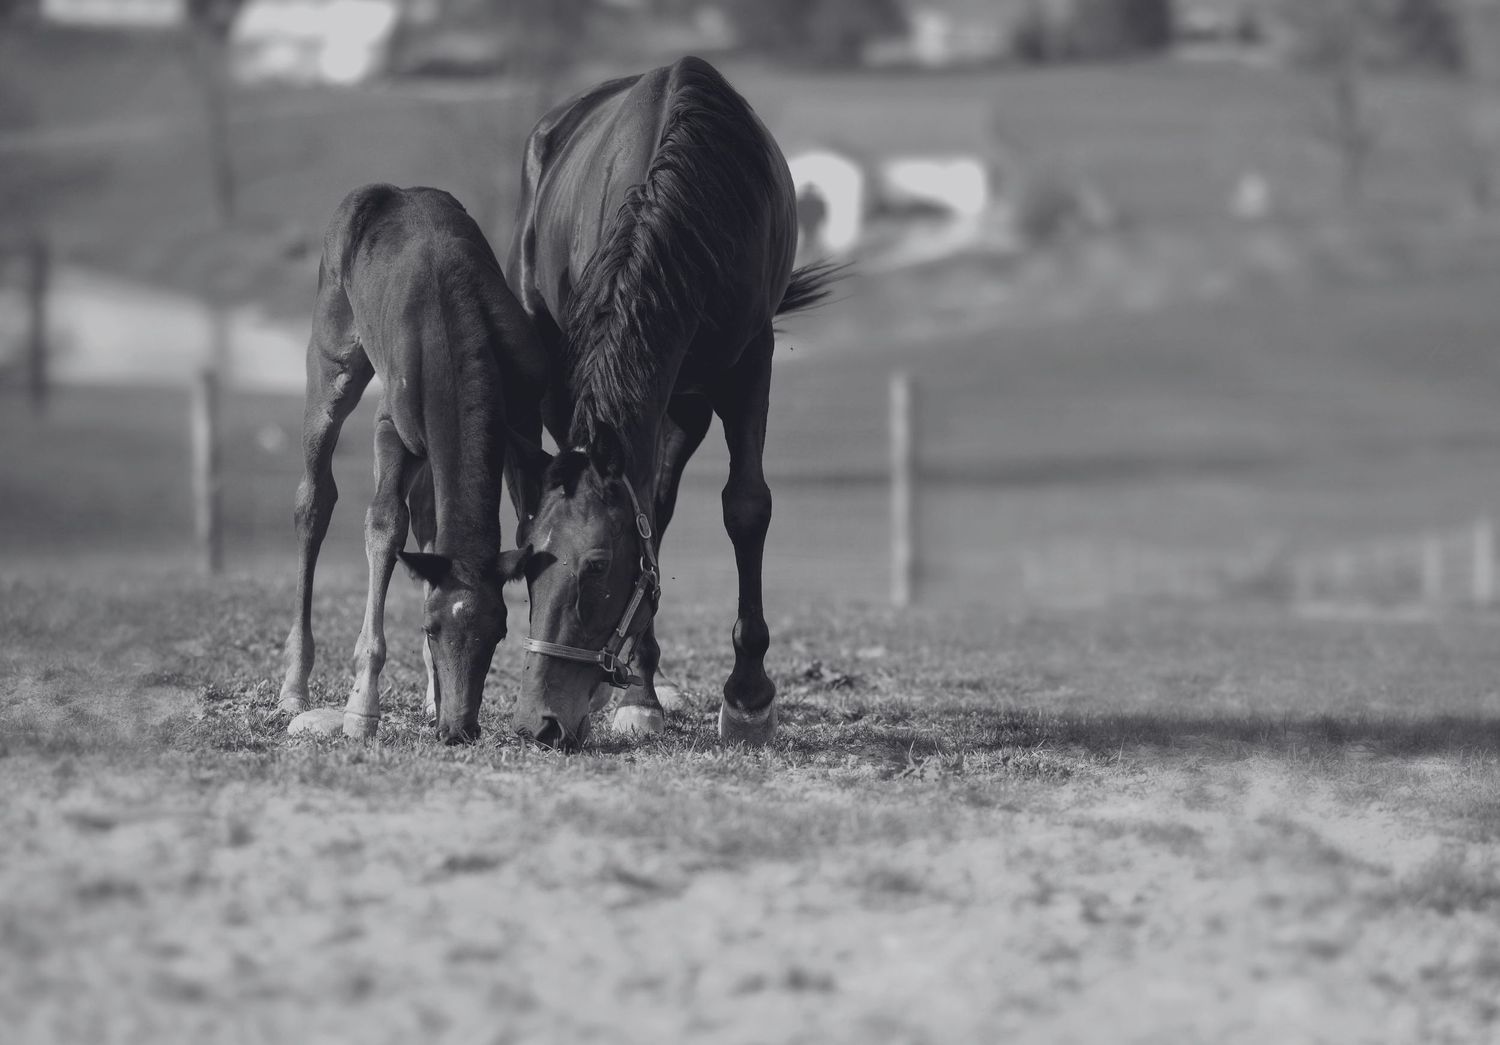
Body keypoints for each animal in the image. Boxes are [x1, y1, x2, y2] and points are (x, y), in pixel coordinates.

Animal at [276, 184, 543, 744]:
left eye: (499, 631)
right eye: (430, 627)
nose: (459, 729)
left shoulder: (525, 423)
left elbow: (531, 525)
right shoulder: (391, 429)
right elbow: (384, 525)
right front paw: (361, 708)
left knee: (426, 513)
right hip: (332, 361)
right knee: (315, 499)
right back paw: (294, 687)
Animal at [502, 56, 839, 748]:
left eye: (597, 567)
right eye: (525, 570)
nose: (537, 722)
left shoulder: (749, 361)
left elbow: (746, 507)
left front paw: (748, 697)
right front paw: (640, 695)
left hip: (686, 403)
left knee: (657, 503)